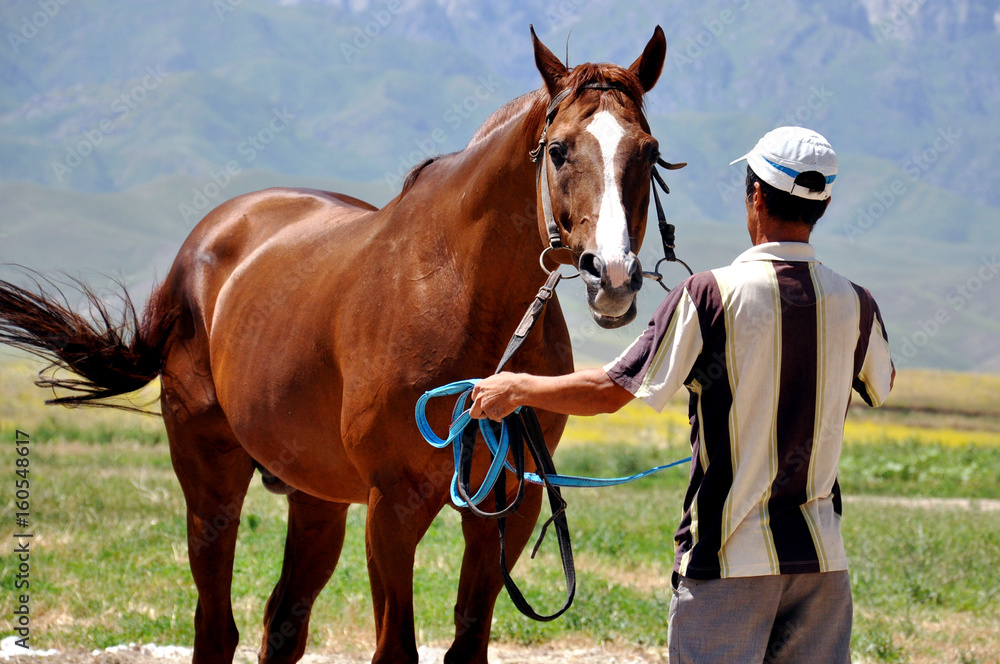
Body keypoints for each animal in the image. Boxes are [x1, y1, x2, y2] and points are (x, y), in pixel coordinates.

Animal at [0, 26, 669, 664]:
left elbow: (467, 646)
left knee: (282, 627)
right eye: (559, 150)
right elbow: (395, 648)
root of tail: (201, 245)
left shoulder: (509, 504)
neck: (463, 294)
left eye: (649, 152)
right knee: (216, 628)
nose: (613, 275)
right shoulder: (394, 506)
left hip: (315, 497)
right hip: (210, 480)